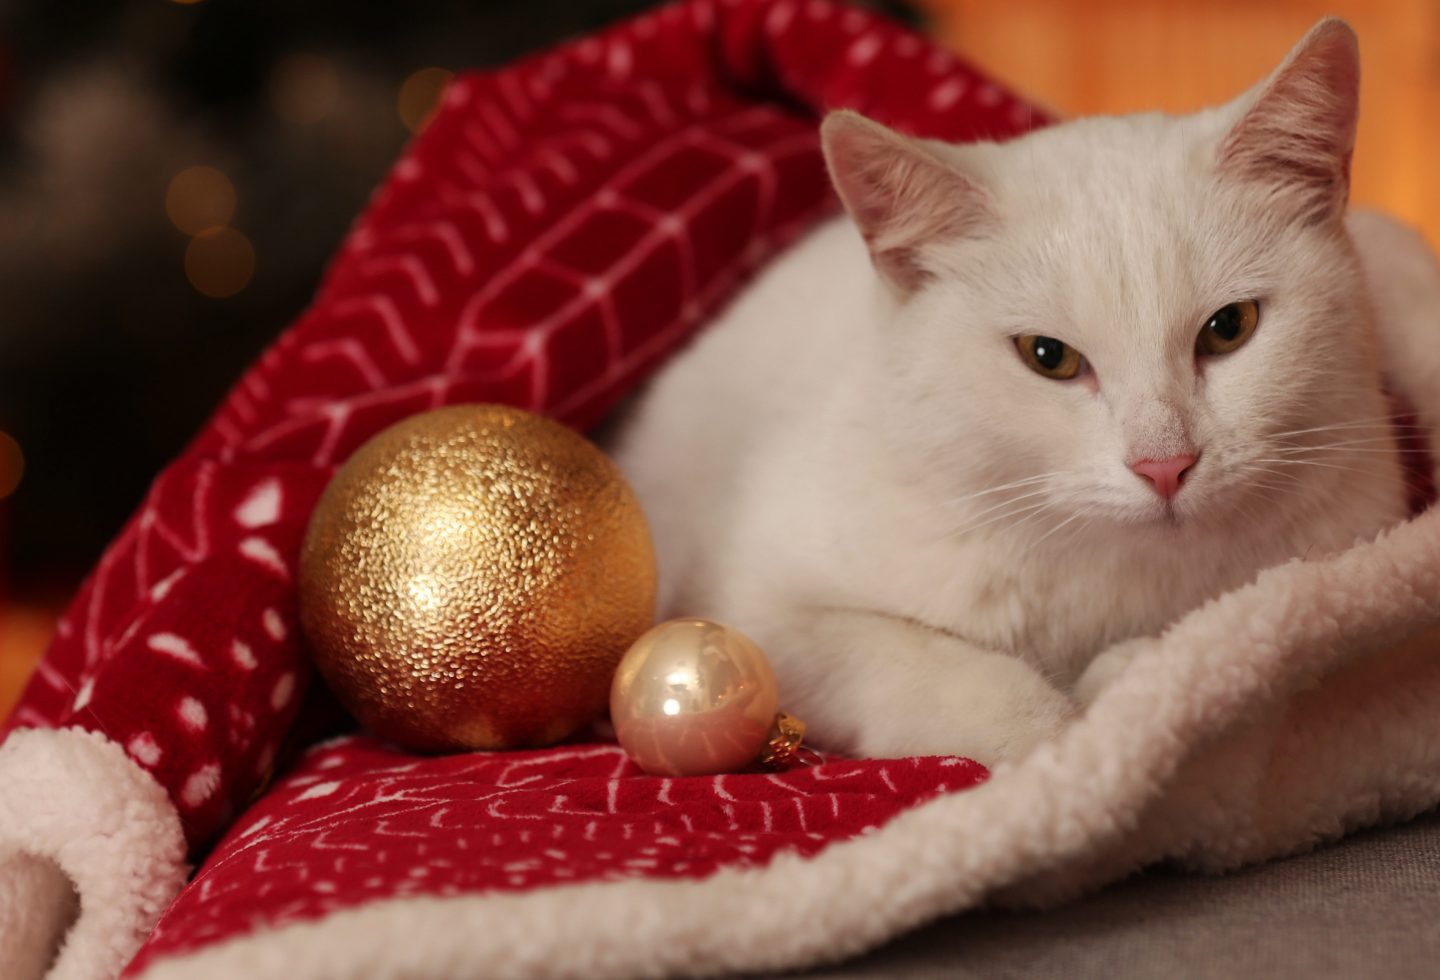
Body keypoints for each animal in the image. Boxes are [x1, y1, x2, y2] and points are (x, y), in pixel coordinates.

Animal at [599, 17, 1428, 765]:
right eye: (1048, 357)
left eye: (1230, 328)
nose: (1165, 465)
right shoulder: (755, 608)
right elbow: (926, 666)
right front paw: (1058, 740)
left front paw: (1135, 682)